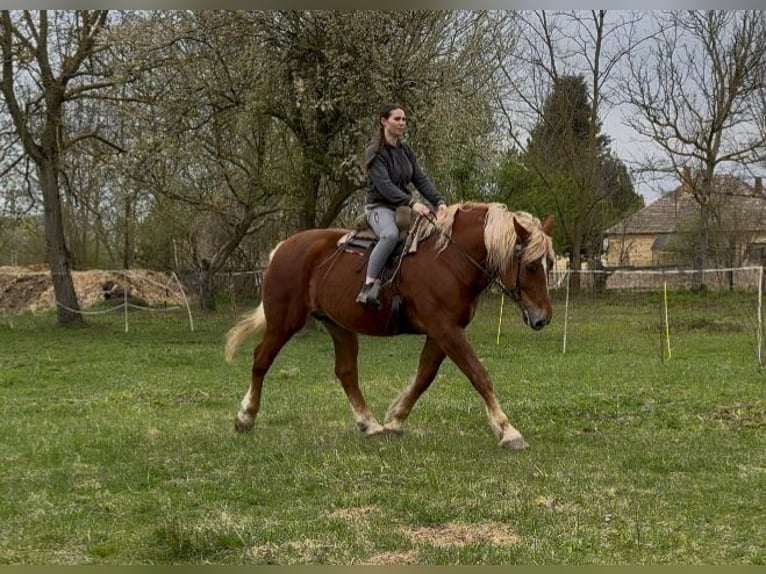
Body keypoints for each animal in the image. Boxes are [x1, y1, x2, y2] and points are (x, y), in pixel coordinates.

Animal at [224, 201, 555, 449]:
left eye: (549, 264)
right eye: (530, 265)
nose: (543, 318)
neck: (449, 258)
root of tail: (281, 248)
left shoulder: (442, 332)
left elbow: (423, 377)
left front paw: (395, 419)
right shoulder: (446, 329)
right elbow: (478, 374)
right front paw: (507, 430)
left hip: (339, 326)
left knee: (346, 372)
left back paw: (369, 423)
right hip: (284, 322)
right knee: (261, 359)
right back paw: (246, 416)